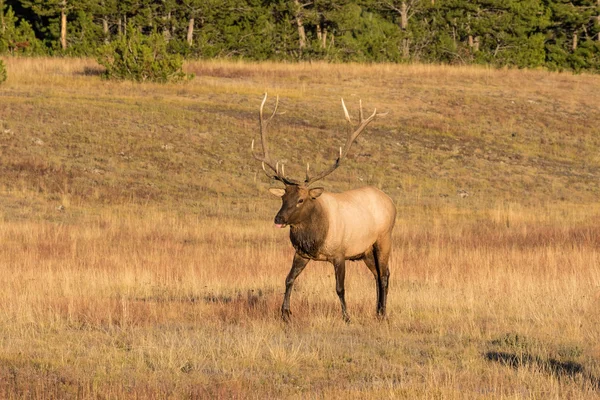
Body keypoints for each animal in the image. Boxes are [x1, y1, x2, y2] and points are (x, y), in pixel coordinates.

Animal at [252, 93, 396, 322]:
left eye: (301, 199)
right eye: (283, 197)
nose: (278, 219)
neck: (315, 237)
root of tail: (390, 201)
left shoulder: (339, 253)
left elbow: (340, 288)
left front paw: (347, 316)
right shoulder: (301, 253)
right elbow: (288, 279)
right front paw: (285, 313)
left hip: (384, 238)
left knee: (384, 275)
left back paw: (382, 313)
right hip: (365, 250)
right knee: (378, 275)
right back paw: (377, 310)